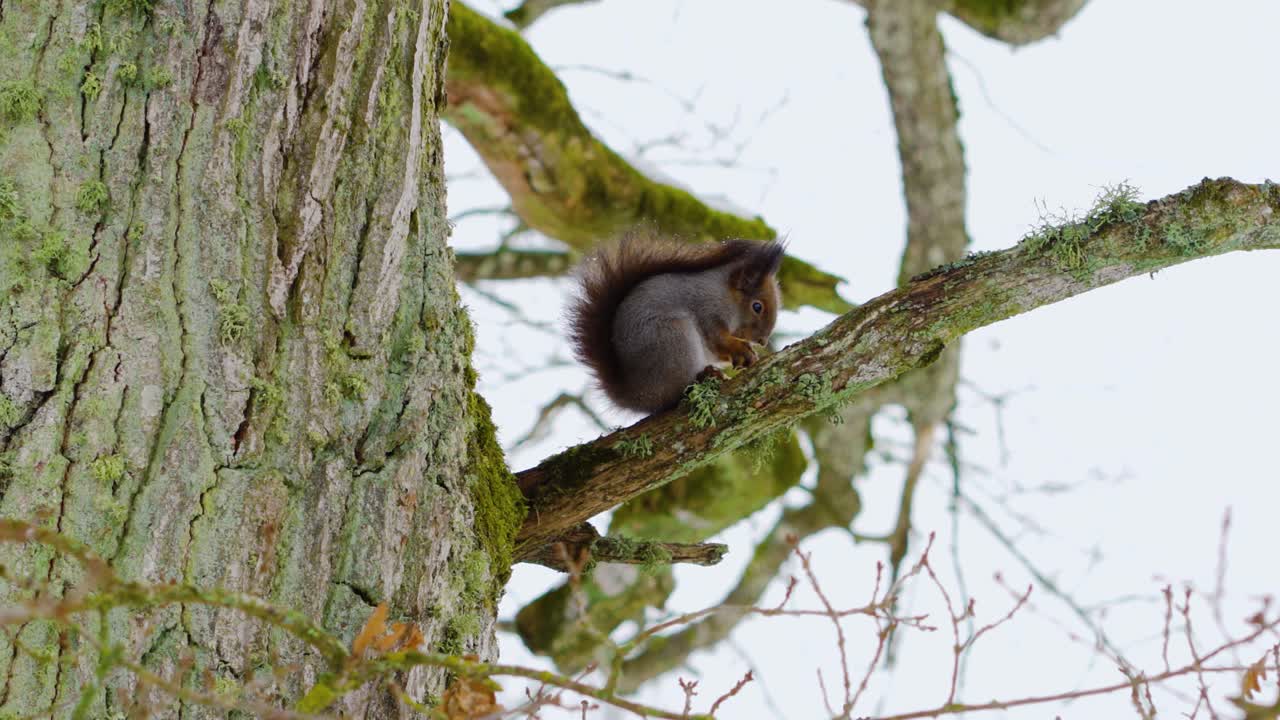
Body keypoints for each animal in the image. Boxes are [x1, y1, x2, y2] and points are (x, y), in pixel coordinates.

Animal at [568, 231, 786, 414]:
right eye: (757, 306)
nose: (763, 341)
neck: (725, 295)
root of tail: (637, 396)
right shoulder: (707, 310)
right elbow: (717, 339)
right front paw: (741, 349)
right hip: (674, 339)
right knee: (674, 395)